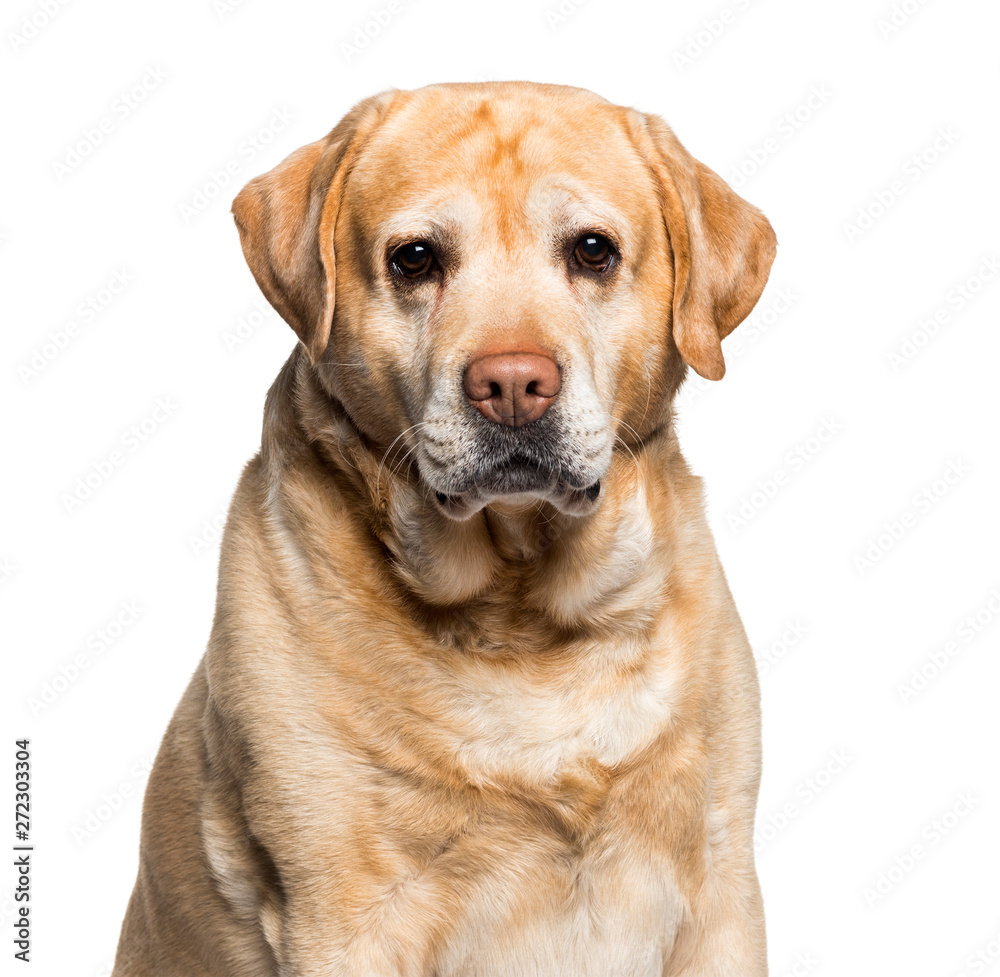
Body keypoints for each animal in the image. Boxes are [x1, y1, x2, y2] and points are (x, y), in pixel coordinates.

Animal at [113, 80, 776, 972]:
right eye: (415, 259)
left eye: (592, 251)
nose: (513, 384)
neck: (524, 614)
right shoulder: (343, 916)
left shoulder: (720, 892)